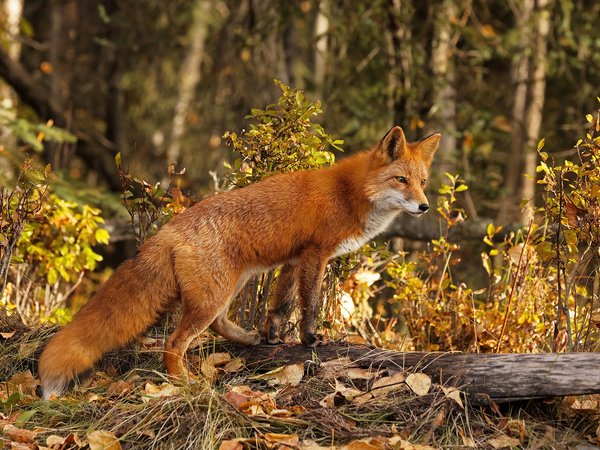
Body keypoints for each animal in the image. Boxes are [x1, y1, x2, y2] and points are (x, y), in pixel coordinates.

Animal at [38, 125, 440, 398]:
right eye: (400, 179)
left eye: (422, 182)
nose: (424, 207)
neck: (349, 193)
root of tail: (168, 230)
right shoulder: (315, 253)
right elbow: (308, 304)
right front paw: (310, 338)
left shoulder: (293, 260)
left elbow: (280, 305)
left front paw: (274, 336)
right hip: (216, 294)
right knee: (174, 343)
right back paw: (185, 383)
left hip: (229, 286)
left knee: (217, 325)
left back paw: (249, 340)